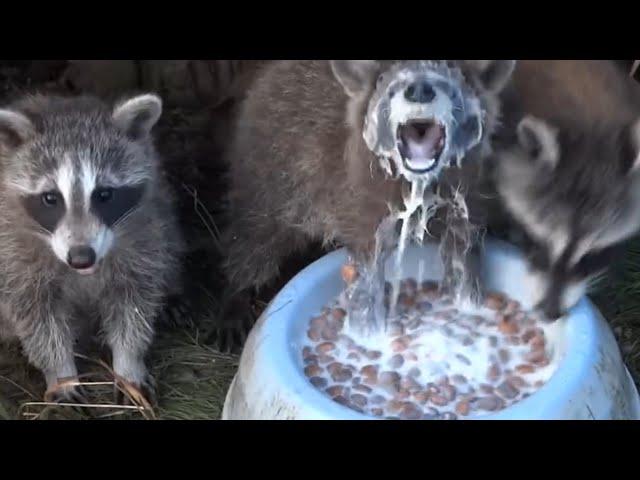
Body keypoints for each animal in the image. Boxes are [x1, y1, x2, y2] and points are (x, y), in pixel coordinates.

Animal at [0, 93, 185, 402]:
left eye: (104, 194)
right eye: (50, 198)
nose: (81, 257)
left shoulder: (144, 234)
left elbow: (133, 308)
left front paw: (128, 367)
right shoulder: (12, 253)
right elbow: (39, 320)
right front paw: (62, 376)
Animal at [215, 60, 516, 352]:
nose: (420, 90)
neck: (420, 179)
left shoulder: (467, 195)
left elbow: (464, 253)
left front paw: (469, 305)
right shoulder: (362, 201)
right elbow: (366, 271)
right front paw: (368, 330)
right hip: (269, 174)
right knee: (255, 241)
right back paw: (235, 293)